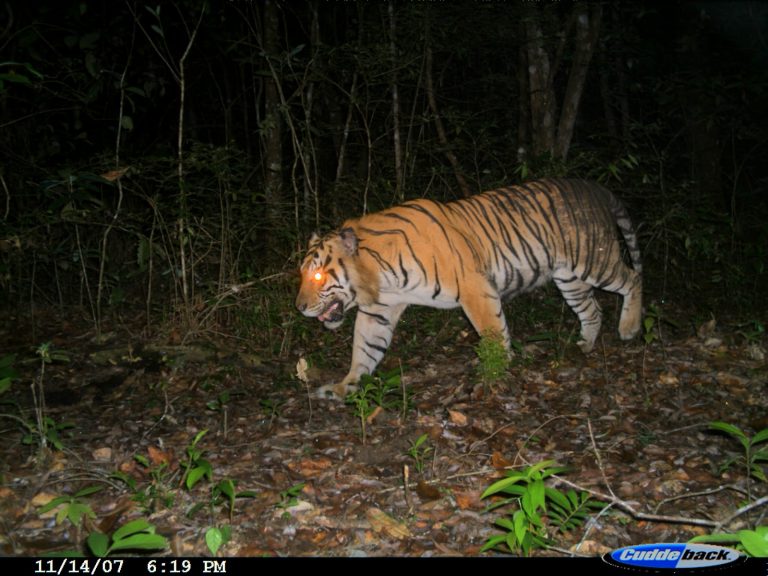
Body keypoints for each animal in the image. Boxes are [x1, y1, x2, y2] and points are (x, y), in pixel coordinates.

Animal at [294, 178, 640, 398]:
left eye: (317, 277)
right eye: (303, 275)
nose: (298, 307)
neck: (379, 275)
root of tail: (595, 188)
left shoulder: (475, 288)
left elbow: (493, 334)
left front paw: (493, 375)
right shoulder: (379, 309)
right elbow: (365, 349)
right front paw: (345, 386)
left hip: (594, 260)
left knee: (632, 278)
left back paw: (630, 328)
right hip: (568, 278)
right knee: (592, 309)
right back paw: (585, 345)